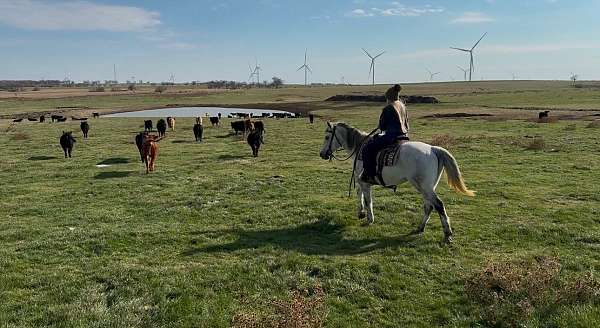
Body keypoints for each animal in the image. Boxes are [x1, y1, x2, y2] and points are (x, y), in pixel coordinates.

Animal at [318, 121, 474, 242]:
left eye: (327, 137)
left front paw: (369, 219)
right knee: (429, 206)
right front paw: (361, 213)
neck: (359, 148)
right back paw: (420, 228)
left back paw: (447, 234)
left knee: (438, 205)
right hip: (427, 187)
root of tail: (433, 148)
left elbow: (368, 200)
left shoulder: (365, 182)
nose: (322, 154)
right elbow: (359, 193)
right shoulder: (361, 181)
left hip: (424, 187)